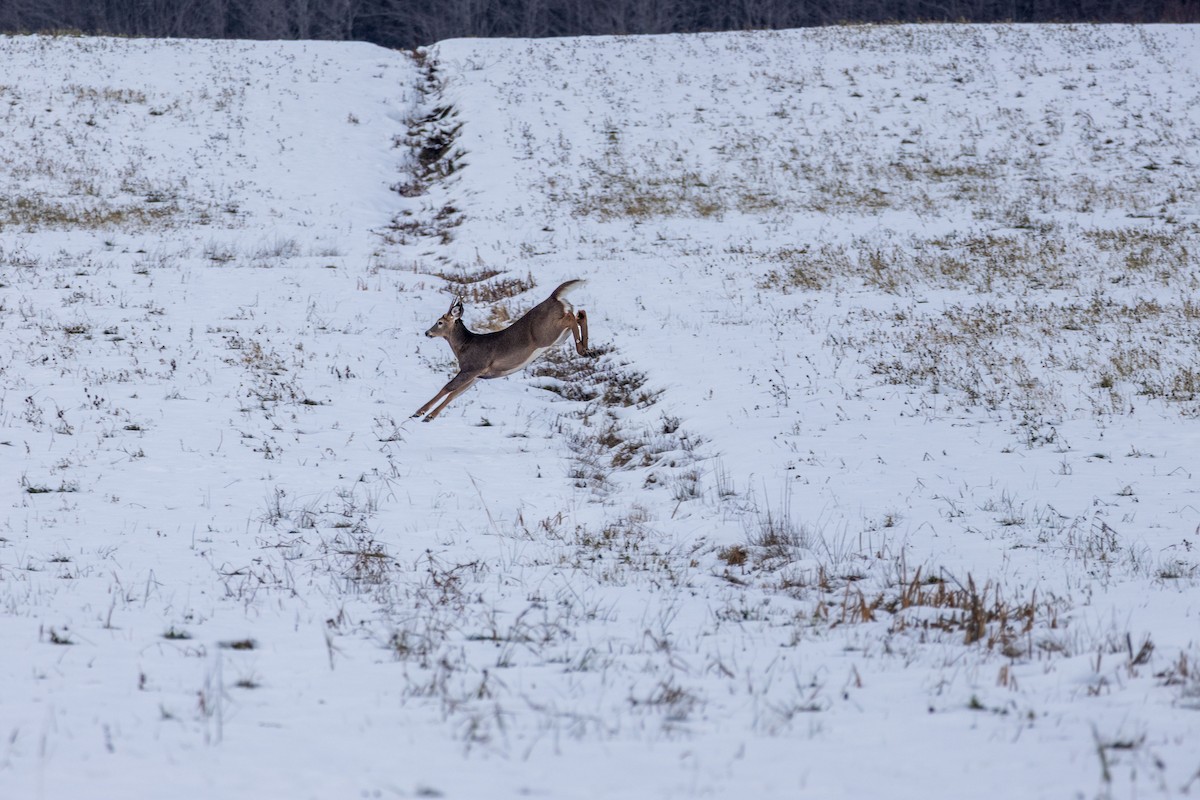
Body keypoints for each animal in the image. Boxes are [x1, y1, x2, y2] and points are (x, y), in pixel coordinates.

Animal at [413, 279, 590, 422]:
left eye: (440, 322)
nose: (427, 333)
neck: (465, 346)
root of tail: (553, 297)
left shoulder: (472, 367)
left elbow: (448, 388)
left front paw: (421, 413)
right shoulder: (477, 376)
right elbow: (454, 394)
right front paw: (429, 416)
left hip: (546, 333)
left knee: (571, 317)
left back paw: (582, 348)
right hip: (559, 337)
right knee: (579, 314)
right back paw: (587, 348)